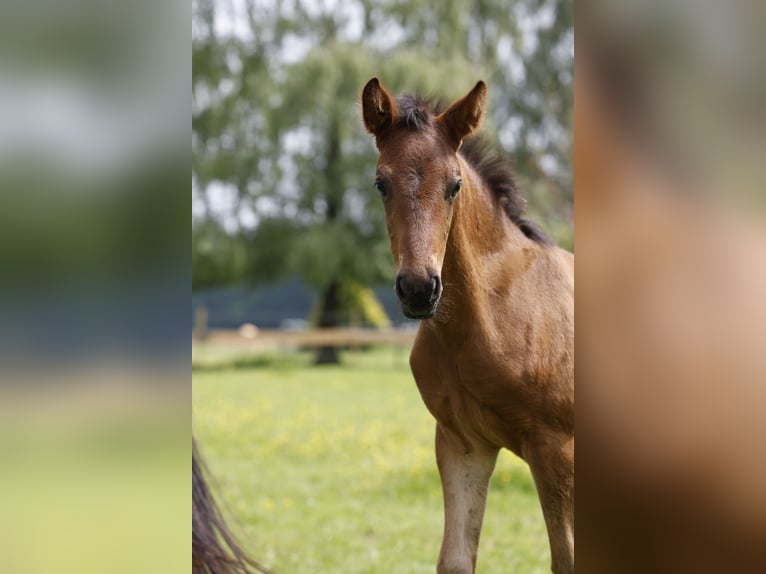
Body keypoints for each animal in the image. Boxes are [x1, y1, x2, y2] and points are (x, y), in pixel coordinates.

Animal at [364, 77, 572, 574]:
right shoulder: (463, 445)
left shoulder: (557, 451)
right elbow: (455, 560)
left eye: (454, 185)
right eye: (381, 183)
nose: (419, 288)